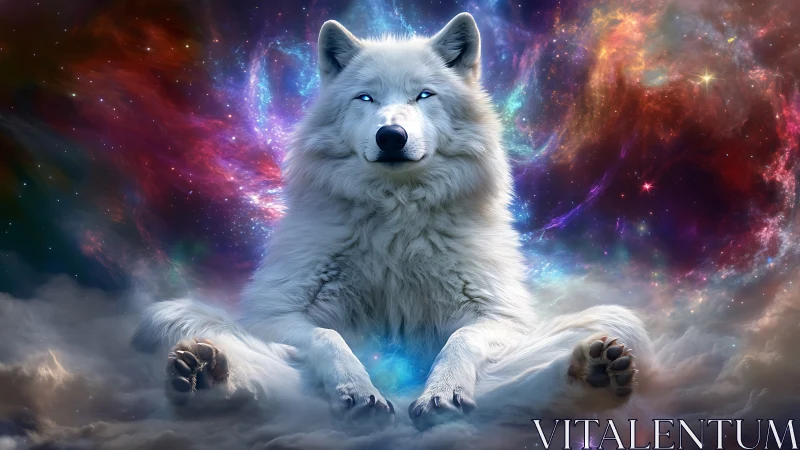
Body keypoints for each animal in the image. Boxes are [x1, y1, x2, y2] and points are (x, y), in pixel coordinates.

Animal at [134, 13, 653, 430]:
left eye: (424, 95)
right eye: (365, 98)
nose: (391, 135)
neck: (397, 219)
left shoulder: (501, 315)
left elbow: (461, 339)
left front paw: (442, 392)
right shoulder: (274, 312)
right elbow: (328, 337)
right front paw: (359, 390)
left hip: (610, 321)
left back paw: (595, 373)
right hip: (178, 320)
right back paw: (204, 375)